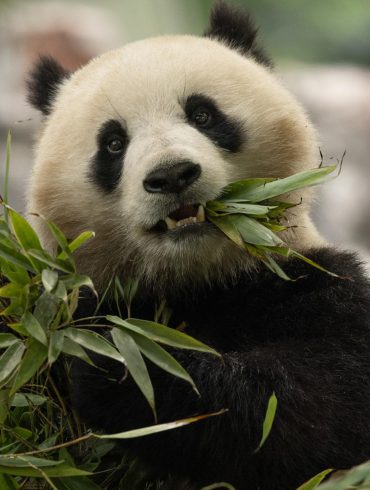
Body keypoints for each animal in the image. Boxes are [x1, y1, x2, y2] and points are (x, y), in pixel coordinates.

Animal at [24, 2, 370, 490]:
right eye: (113, 143)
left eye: (202, 115)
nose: (171, 175)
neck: (197, 277)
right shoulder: (72, 297)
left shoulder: (318, 286)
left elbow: (308, 411)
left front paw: (120, 363)